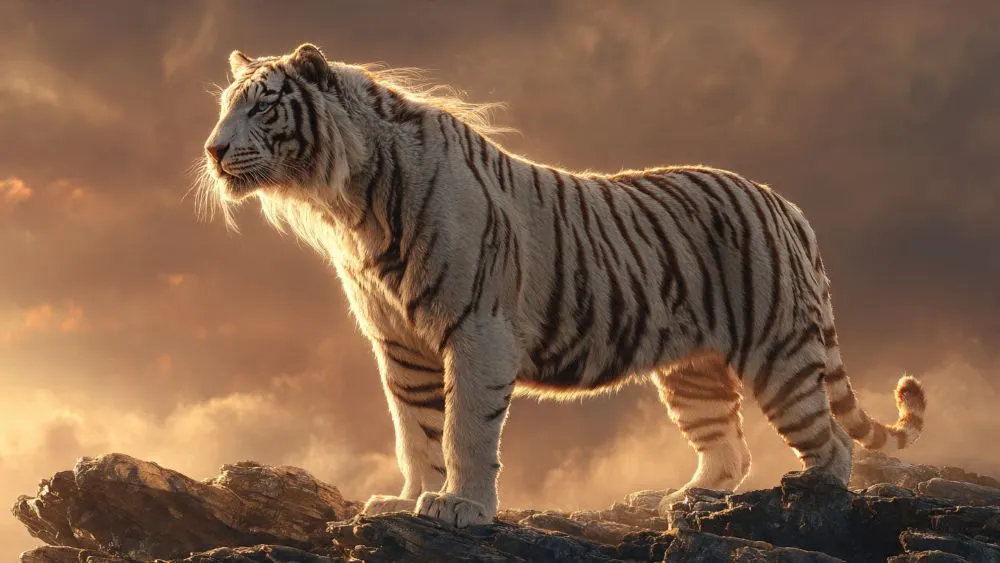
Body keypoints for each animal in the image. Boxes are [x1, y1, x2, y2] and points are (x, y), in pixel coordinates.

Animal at [197, 43, 926, 527]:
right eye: (227, 108)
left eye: (264, 108)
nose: (213, 150)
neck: (352, 204)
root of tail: (785, 203)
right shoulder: (400, 344)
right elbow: (416, 429)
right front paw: (406, 499)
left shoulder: (478, 328)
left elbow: (465, 428)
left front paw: (461, 506)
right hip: (693, 372)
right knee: (729, 447)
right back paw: (685, 500)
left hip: (781, 353)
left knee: (832, 443)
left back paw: (810, 498)